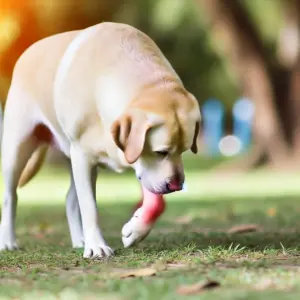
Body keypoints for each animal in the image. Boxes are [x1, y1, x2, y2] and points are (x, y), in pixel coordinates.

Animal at [0, 22, 202, 258]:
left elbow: (155, 202)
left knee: (70, 199)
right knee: (11, 196)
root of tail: (27, 51)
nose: (177, 186)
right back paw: (8, 241)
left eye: (184, 150)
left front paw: (134, 231)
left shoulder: (135, 159)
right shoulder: (84, 156)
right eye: (161, 152)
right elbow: (90, 207)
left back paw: (80, 240)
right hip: (17, 148)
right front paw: (96, 246)